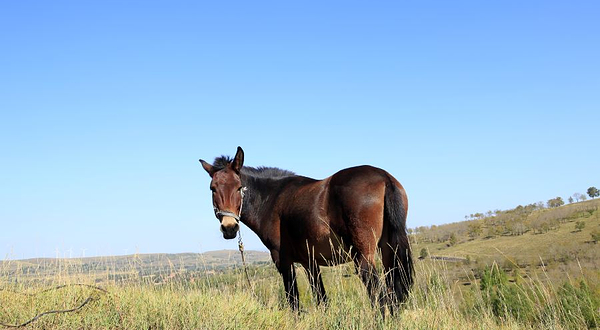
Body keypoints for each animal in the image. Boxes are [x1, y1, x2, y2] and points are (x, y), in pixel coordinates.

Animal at [199, 146, 414, 312]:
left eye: (238, 187)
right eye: (213, 188)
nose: (229, 227)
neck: (272, 199)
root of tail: (383, 177)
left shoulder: (283, 260)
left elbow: (293, 301)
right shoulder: (310, 263)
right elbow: (322, 300)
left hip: (363, 257)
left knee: (380, 296)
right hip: (388, 252)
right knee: (393, 294)